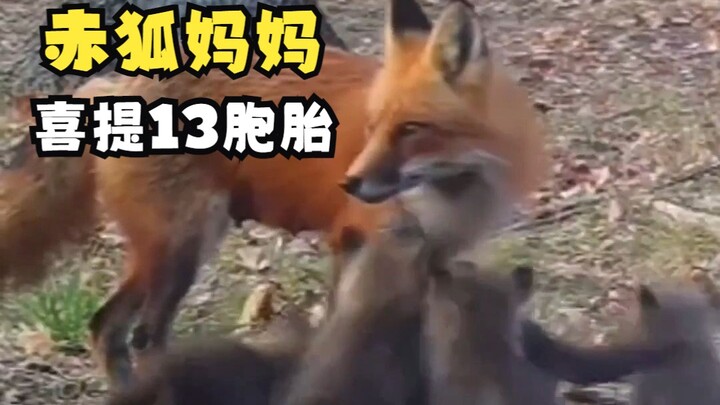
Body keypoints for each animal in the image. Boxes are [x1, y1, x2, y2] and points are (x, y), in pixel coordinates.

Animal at [0, 0, 549, 388]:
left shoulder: (435, 262)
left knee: (105, 328)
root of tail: (108, 84)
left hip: (167, 253)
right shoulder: (352, 242)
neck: (449, 195)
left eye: (411, 130)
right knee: (142, 336)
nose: (351, 183)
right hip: (183, 249)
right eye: (374, 126)